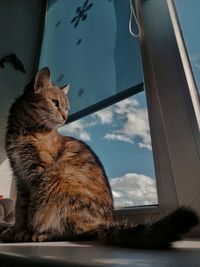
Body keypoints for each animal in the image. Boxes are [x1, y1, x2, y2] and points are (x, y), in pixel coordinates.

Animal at [0, 67, 198, 249]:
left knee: (76, 231)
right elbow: (20, 208)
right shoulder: (20, 176)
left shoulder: (39, 174)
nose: (65, 117)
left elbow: (32, 209)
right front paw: (16, 230)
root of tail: (104, 222)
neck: (24, 131)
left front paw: (27, 231)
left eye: (66, 107)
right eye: (55, 103)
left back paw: (44, 234)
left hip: (60, 180)